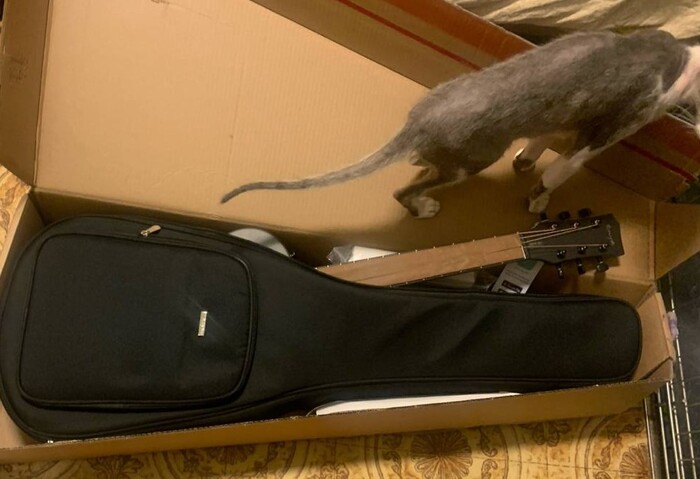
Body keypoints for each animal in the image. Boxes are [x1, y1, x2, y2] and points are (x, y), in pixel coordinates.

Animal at [221, 29, 700, 218]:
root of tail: (419, 119)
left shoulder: (565, 117)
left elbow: (540, 141)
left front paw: (526, 162)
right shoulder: (603, 132)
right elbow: (559, 173)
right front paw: (539, 199)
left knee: (420, 168)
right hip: (473, 159)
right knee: (406, 189)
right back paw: (423, 206)